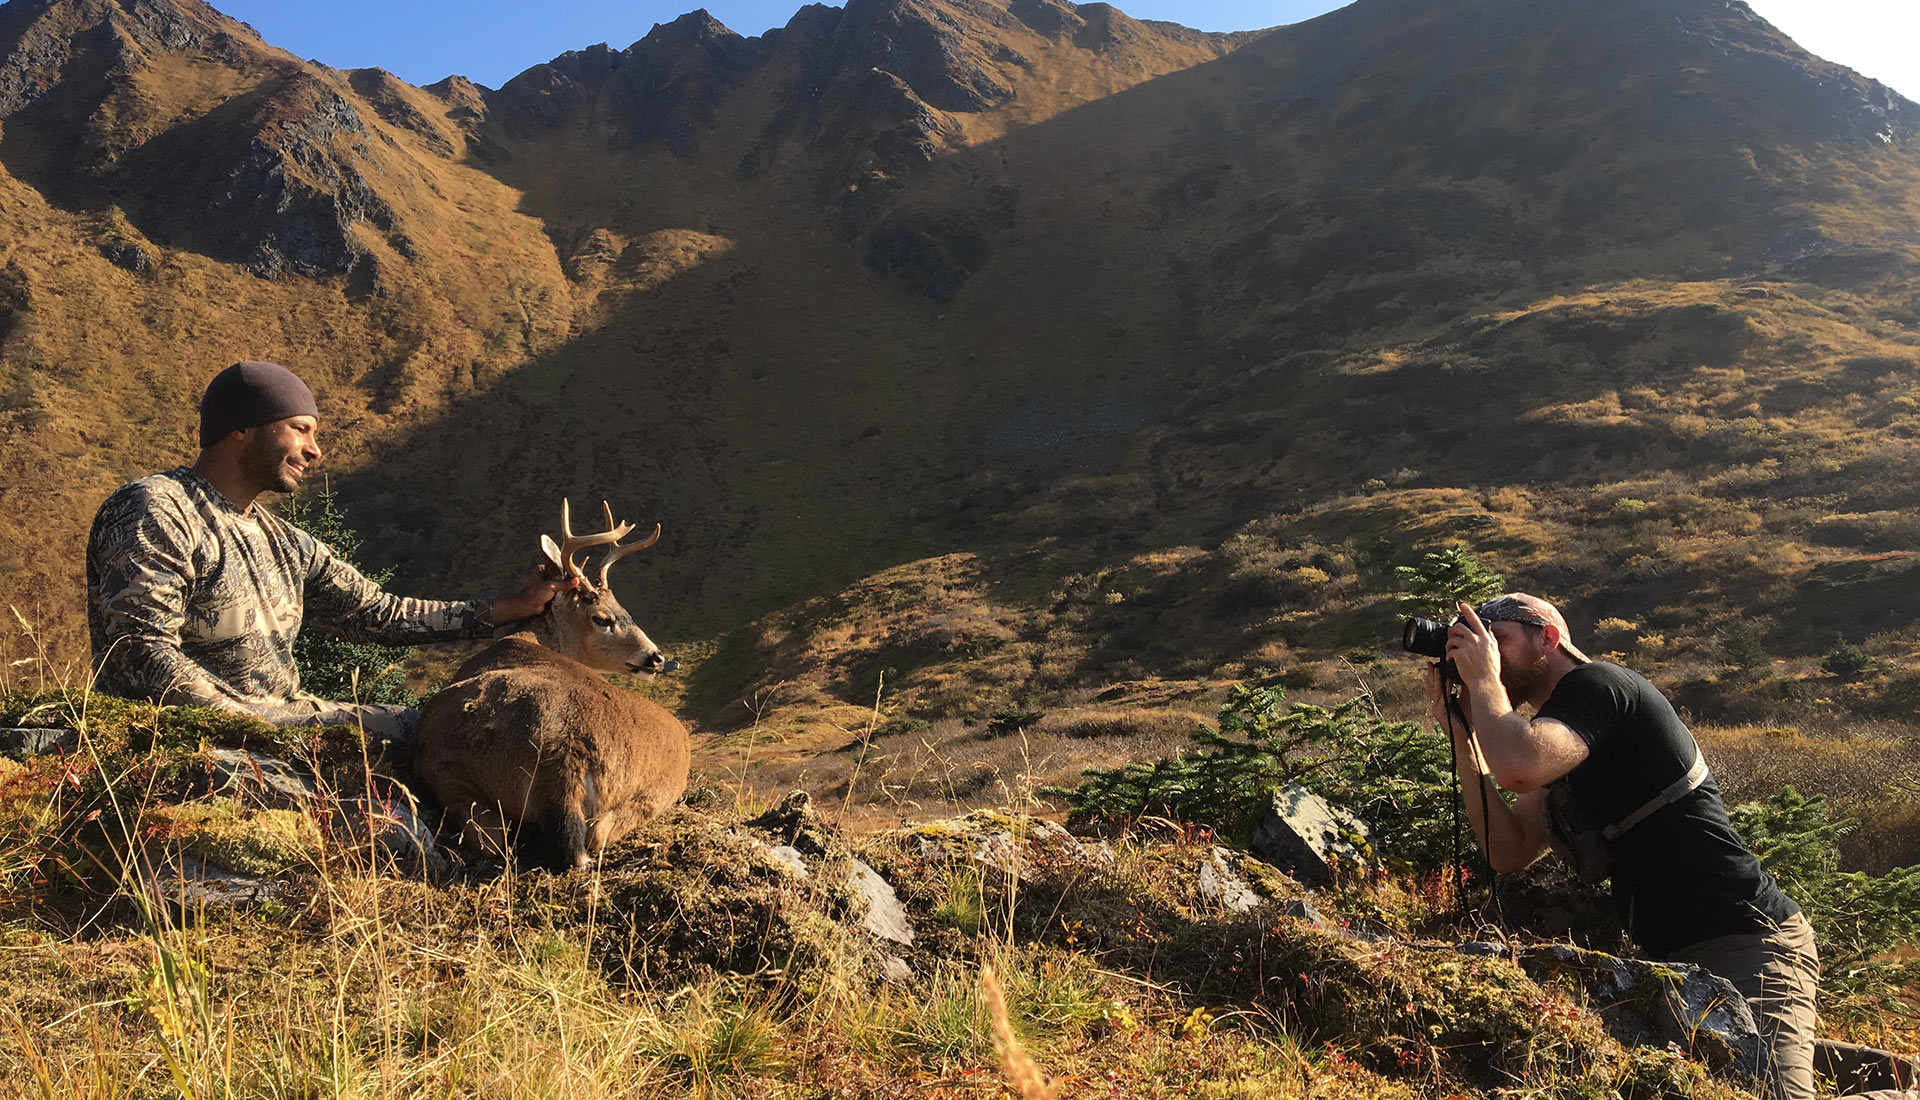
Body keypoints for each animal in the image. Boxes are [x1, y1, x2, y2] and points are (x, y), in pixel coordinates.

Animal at [412, 499, 691, 871]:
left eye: (624, 608)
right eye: (601, 618)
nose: (655, 658)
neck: (531, 639)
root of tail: (565, 756)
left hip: (449, 768)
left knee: (498, 841)